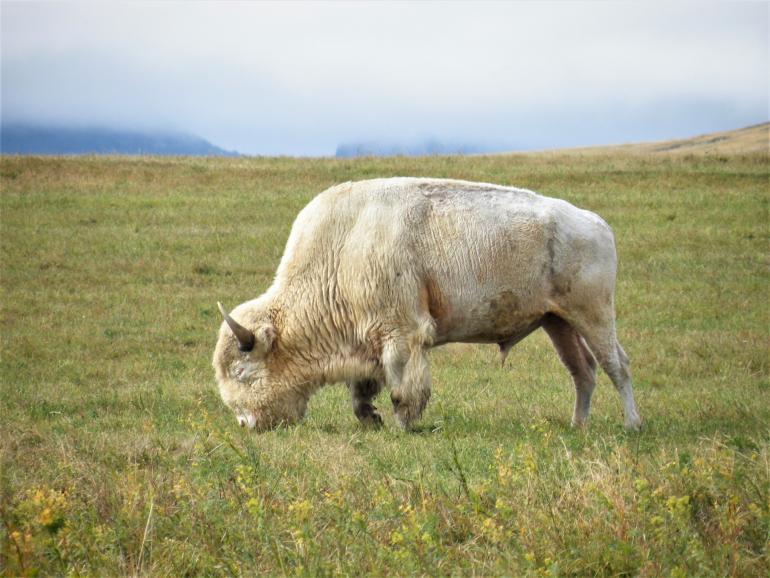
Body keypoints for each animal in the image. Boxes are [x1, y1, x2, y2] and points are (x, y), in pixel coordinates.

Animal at [213, 178, 640, 430]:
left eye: (243, 372)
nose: (245, 424)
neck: (341, 250)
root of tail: (596, 223)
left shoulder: (402, 335)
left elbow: (403, 386)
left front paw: (403, 425)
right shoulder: (366, 339)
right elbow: (361, 390)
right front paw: (371, 421)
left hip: (594, 315)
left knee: (616, 365)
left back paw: (631, 425)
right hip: (557, 321)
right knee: (582, 372)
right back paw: (577, 426)